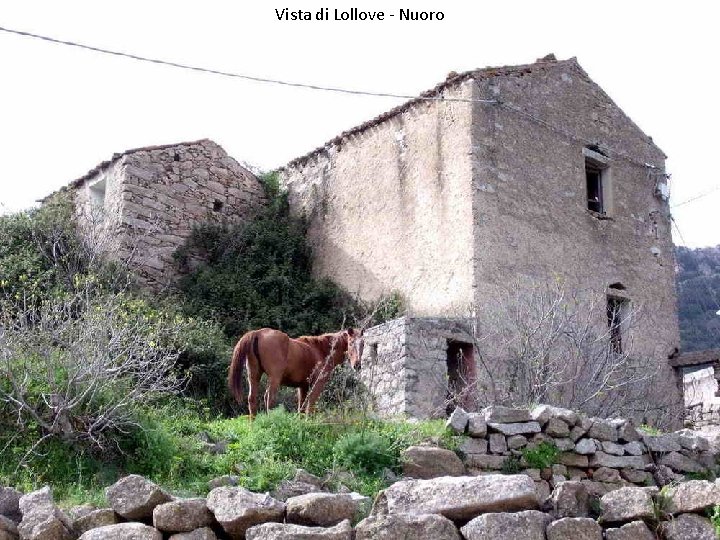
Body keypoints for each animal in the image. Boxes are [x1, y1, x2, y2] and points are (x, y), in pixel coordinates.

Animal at [231, 326, 362, 416]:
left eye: (363, 344)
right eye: (351, 343)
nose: (357, 365)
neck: (321, 350)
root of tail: (258, 333)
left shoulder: (303, 386)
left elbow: (301, 407)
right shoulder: (318, 383)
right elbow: (310, 404)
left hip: (254, 375)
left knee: (252, 399)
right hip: (274, 378)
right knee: (269, 398)